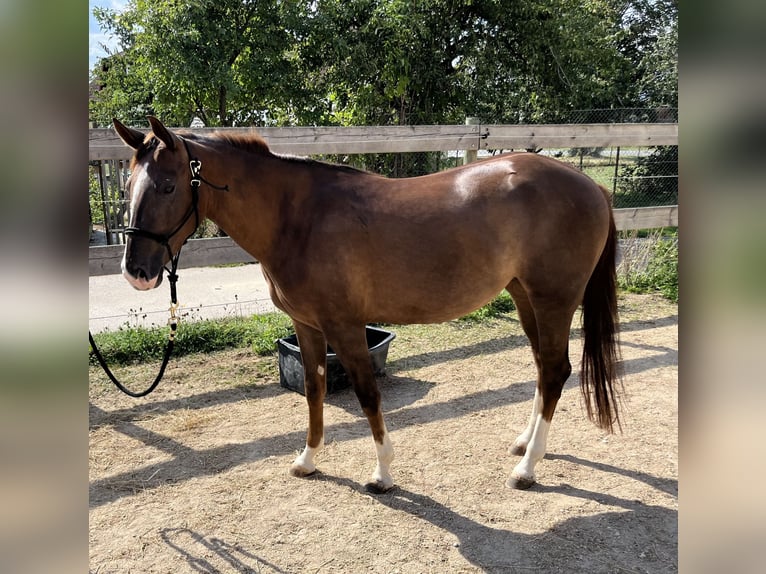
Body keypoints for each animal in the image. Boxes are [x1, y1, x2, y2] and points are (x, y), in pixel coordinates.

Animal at [112, 118, 624, 496]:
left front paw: (382, 474)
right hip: (524, 297)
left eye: (167, 186)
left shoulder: (345, 326)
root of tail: (592, 187)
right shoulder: (307, 326)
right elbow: (315, 391)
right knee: (542, 367)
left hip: (554, 299)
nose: (136, 271)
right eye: (129, 183)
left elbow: (367, 395)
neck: (297, 218)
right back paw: (525, 445)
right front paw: (307, 460)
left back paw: (528, 469)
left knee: (555, 371)